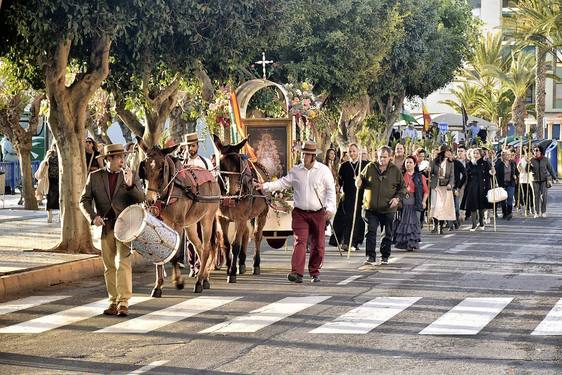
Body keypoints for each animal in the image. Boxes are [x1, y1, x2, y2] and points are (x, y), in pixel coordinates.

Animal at [138, 138, 221, 294]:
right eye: (144, 167)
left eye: (161, 168)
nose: (150, 200)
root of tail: (212, 176)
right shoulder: (159, 221)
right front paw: (158, 285)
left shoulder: (178, 224)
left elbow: (175, 253)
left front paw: (178, 281)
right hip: (191, 224)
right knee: (199, 246)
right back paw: (204, 277)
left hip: (207, 219)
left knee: (206, 248)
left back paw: (199, 281)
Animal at [212, 135, 270, 282]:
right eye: (222, 164)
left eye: (238, 165)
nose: (234, 190)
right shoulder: (221, 219)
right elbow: (225, 244)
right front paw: (229, 268)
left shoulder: (240, 218)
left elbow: (235, 245)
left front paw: (232, 273)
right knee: (246, 233)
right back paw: (242, 263)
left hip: (262, 214)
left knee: (256, 236)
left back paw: (256, 265)